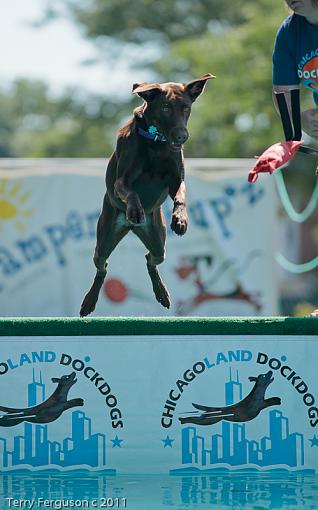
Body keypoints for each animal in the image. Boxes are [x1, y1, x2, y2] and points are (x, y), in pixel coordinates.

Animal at [79, 73, 215, 316]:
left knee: (151, 259)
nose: (182, 136)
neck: (156, 142)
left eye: (186, 108)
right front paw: (135, 210)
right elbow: (131, 191)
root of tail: (130, 229)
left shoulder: (176, 178)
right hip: (104, 238)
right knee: (102, 266)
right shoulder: (122, 181)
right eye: (166, 107)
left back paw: (162, 294)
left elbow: (181, 194)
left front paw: (180, 219)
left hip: (158, 240)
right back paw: (89, 302)